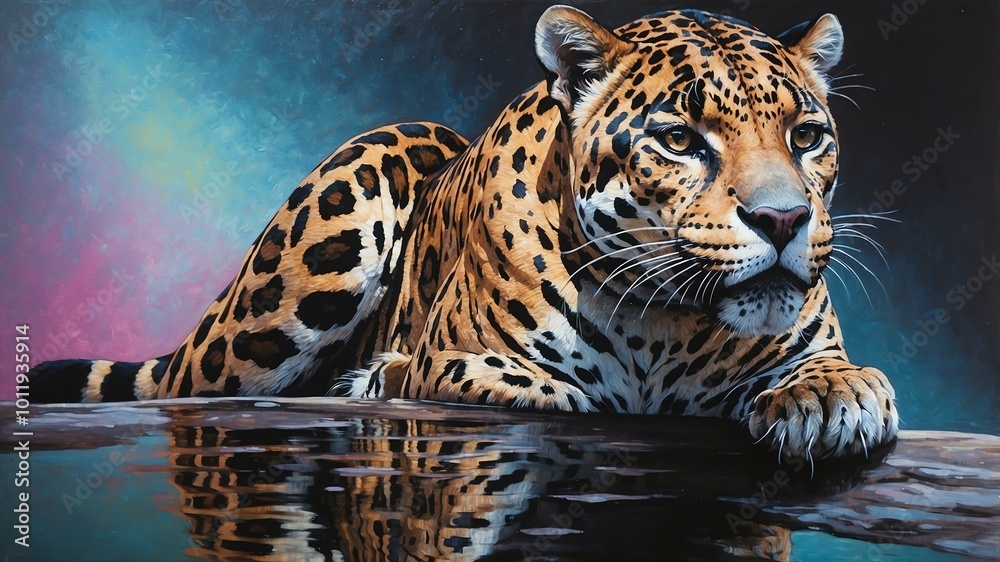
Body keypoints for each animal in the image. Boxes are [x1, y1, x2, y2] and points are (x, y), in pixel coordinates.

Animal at [30, 5, 899, 463]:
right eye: (680, 140)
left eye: (807, 137)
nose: (783, 220)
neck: (666, 325)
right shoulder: (456, 355)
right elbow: (493, 377)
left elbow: (836, 371)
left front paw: (835, 398)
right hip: (297, 274)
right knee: (198, 392)